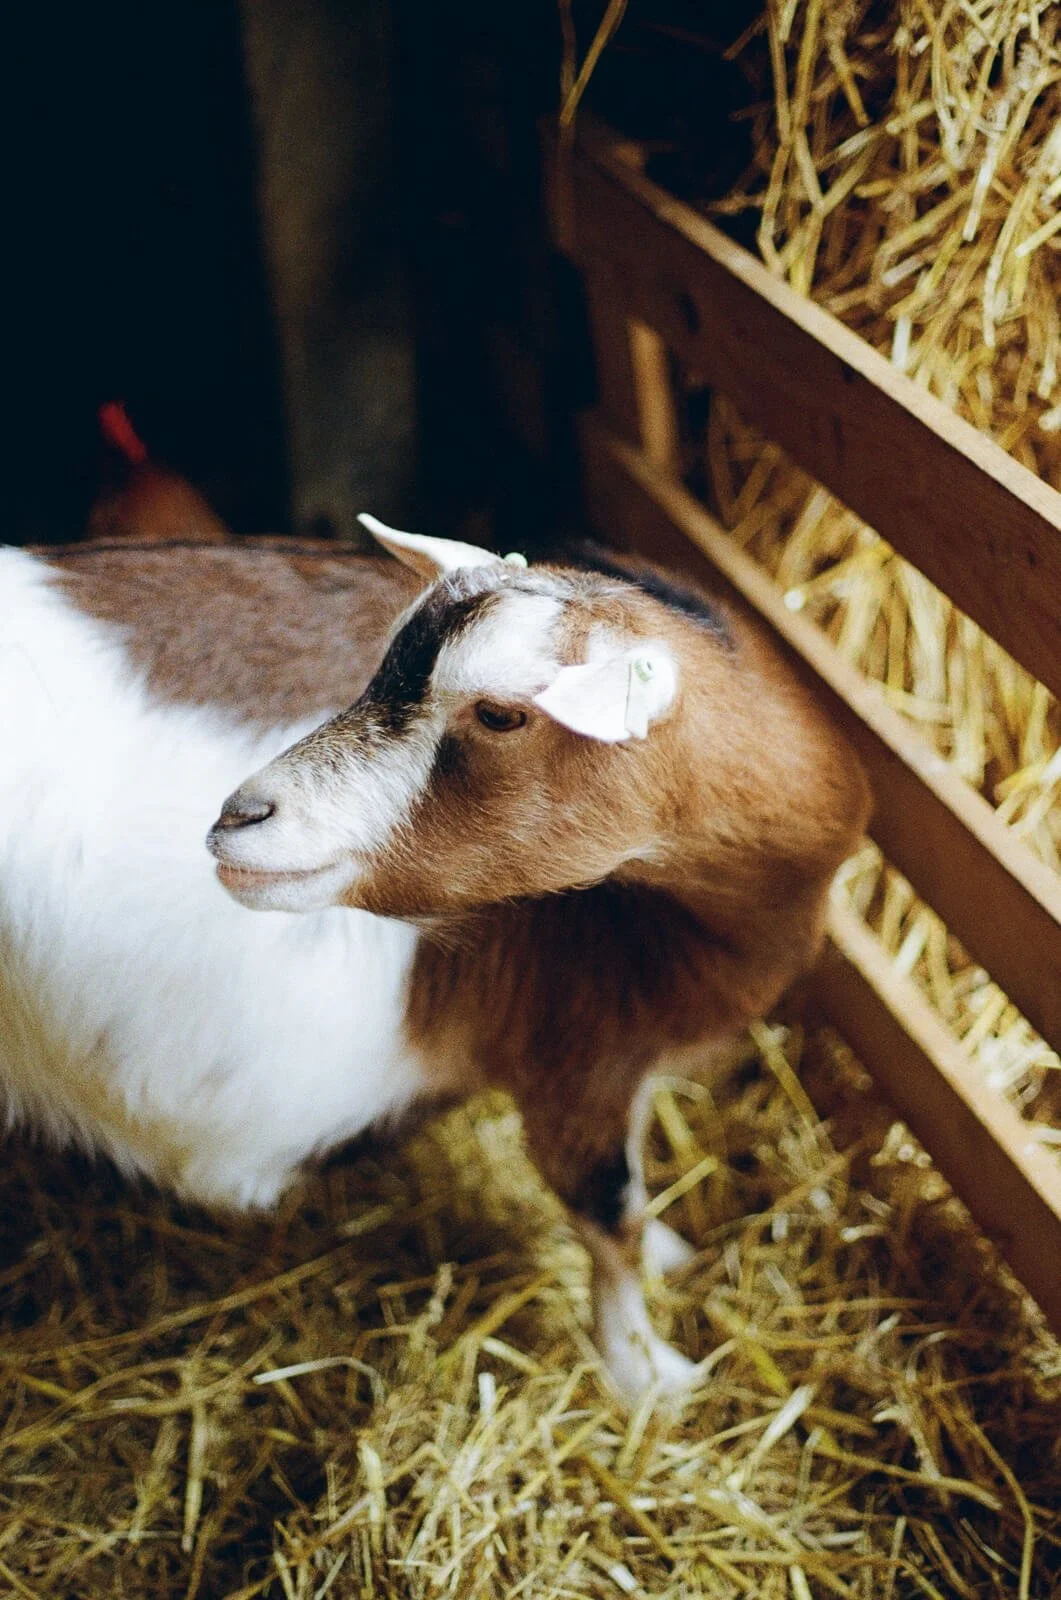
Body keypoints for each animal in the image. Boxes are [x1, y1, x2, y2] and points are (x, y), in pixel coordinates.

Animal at [0, 522, 869, 1399]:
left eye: (500, 714)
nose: (240, 817)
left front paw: (669, 1258)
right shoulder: (574, 1050)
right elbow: (605, 1211)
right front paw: (647, 1375)